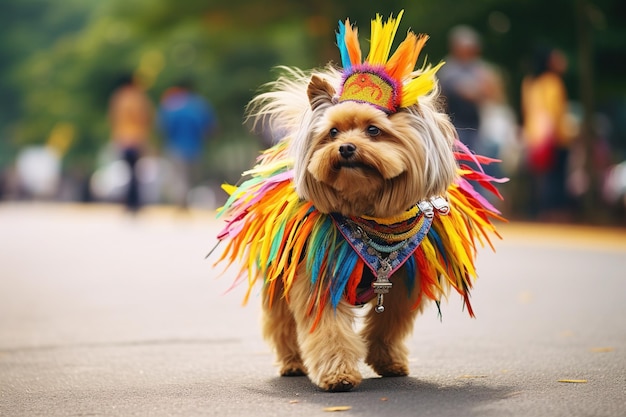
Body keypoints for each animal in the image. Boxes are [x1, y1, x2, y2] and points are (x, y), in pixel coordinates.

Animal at [212, 11, 504, 392]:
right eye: (332, 132)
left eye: (374, 131)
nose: (346, 148)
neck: (370, 210)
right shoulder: (322, 275)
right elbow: (329, 330)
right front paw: (338, 374)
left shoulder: (401, 284)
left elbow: (389, 325)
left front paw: (388, 360)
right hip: (280, 272)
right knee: (280, 323)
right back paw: (292, 363)